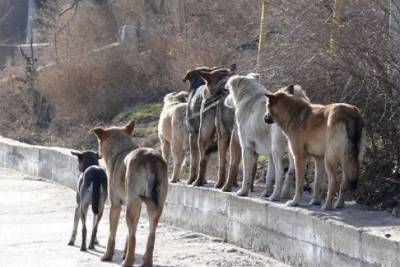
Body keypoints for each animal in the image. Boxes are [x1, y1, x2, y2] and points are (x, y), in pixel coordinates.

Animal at [93, 121, 168, 267]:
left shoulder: (115, 206)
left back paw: (127, 262)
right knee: (151, 236)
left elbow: (112, 235)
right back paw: (146, 261)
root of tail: (151, 158)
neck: (120, 151)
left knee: (134, 238)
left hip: (130, 209)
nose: (96, 153)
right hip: (154, 208)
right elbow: (129, 233)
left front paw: (108, 256)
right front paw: (125, 253)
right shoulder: (136, 208)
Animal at [223, 73, 296, 201]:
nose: (224, 101)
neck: (249, 97)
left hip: (277, 149)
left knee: (281, 173)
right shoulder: (269, 153)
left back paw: (275, 196)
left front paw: (243, 192)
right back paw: (285, 194)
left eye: (229, 91)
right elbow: (269, 176)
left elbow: (247, 174)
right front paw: (266, 192)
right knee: (291, 171)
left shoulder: (247, 148)